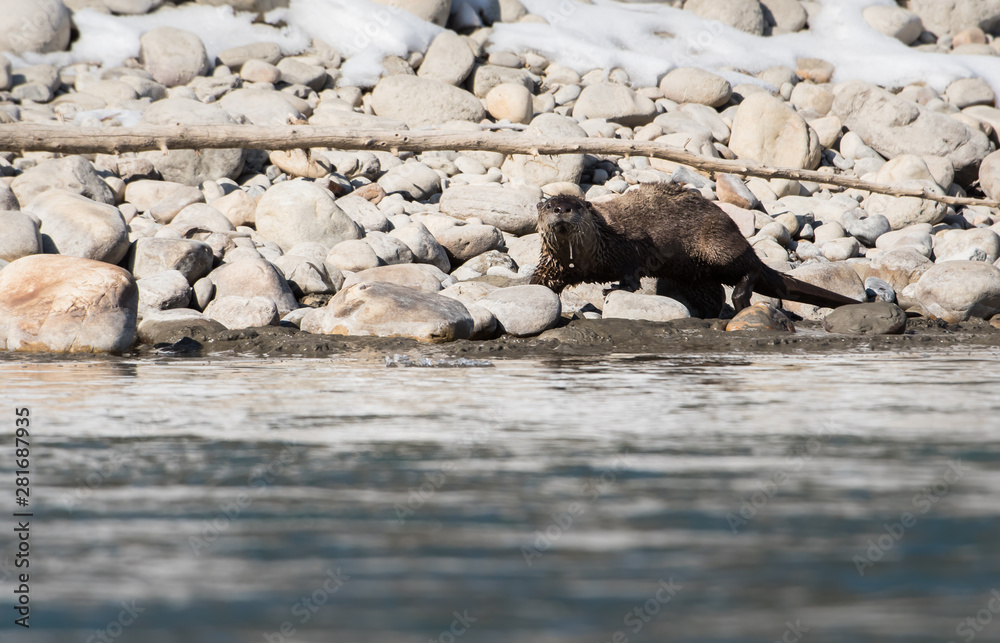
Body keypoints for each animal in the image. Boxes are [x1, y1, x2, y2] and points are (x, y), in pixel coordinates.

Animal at [529, 182, 860, 317]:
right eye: (549, 204)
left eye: (574, 206)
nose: (561, 209)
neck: (589, 255)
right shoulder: (554, 263)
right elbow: (540, 280)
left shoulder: (628, 247)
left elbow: (631, 276)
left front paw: (614, 289)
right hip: (696, 274)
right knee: (714, 293)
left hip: (719, 246)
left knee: (750, 269)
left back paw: (741, 297)